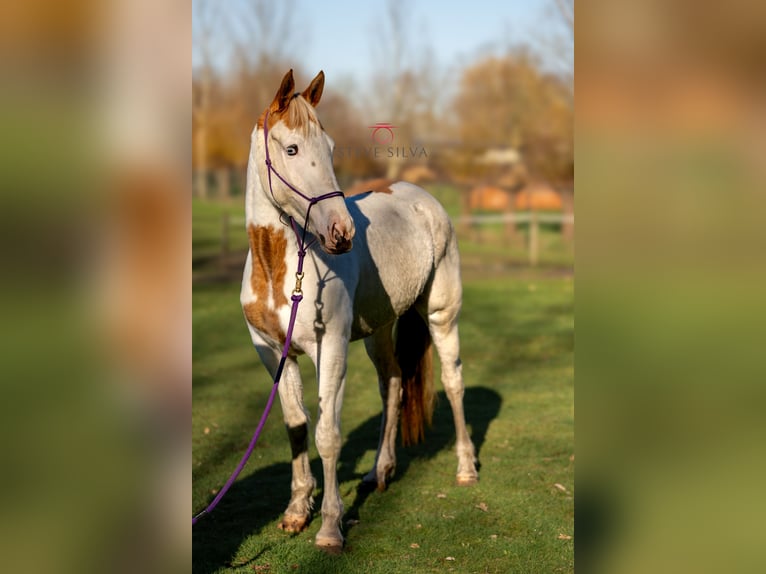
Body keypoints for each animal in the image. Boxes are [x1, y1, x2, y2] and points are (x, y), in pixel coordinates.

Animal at [239, 69, 478, 552]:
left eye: (330, 148)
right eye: (291, 149)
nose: (342, 232)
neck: (278, 269)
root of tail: (422, 198)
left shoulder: (330, 348)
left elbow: (327, 434)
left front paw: (330, 526)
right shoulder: (272, 352)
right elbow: (296, 426)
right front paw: (297, 511)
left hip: (441, 316)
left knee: (453, 382)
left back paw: (466, 468)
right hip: (378, 332)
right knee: (393, 386)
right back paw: (379, 472)